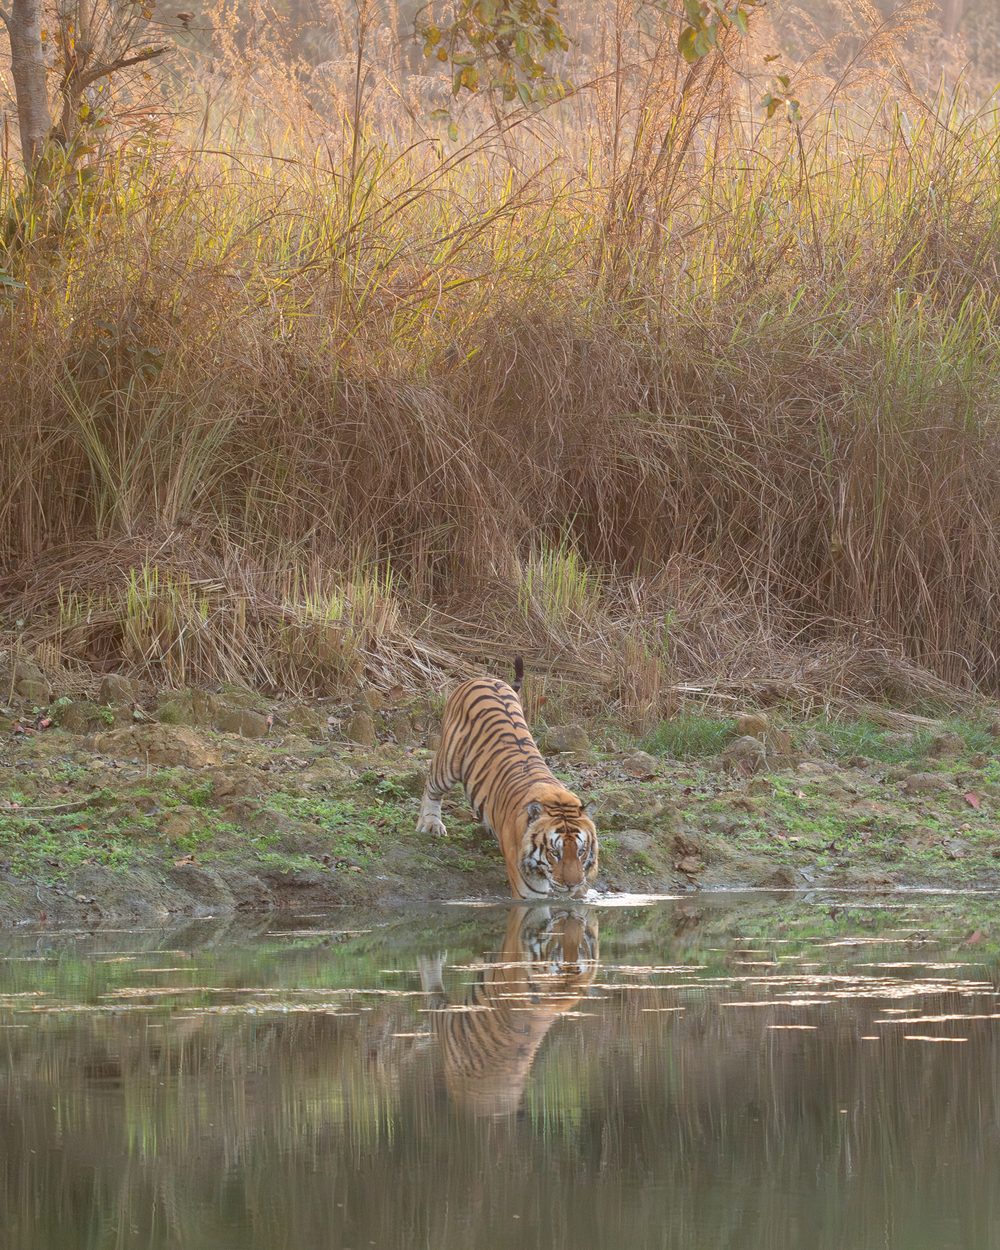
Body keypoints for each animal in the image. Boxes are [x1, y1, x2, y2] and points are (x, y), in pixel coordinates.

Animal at [416, 657, 599, 899]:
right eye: (554, 853)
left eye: (581, 851)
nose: (572, 884)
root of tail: (483, 678)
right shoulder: (528, 892)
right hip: (448, 763)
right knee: (431, 786)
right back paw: (431, 824)